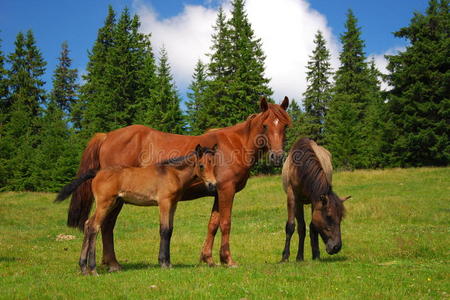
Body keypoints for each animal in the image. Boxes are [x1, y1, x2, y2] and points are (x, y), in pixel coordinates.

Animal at [55, 144, 217, 276]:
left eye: (214, 164)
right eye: (201, 165)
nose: (212, 185)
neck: (172, 173)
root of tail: (97, 173)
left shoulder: (173, 204)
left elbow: (170, 230)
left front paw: (168, 263)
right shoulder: (164, 203)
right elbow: (164, 230)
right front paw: (163, 263)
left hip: (111, 203)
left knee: (88, 224)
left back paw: (83, 268)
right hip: (105, 203)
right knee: (94, 226)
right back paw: (93, 269)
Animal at [66, 96, 292, 270]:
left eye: (285, 126)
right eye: (265, 125)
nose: (277, 157)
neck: (234, 145)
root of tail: (106, 136)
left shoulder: (217, 192)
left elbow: (213, 224)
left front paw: (208, 259)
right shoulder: (227, 190)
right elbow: (226, 223)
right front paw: (227, 260)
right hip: (114, 199)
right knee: (105, 226)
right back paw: (112, 264)